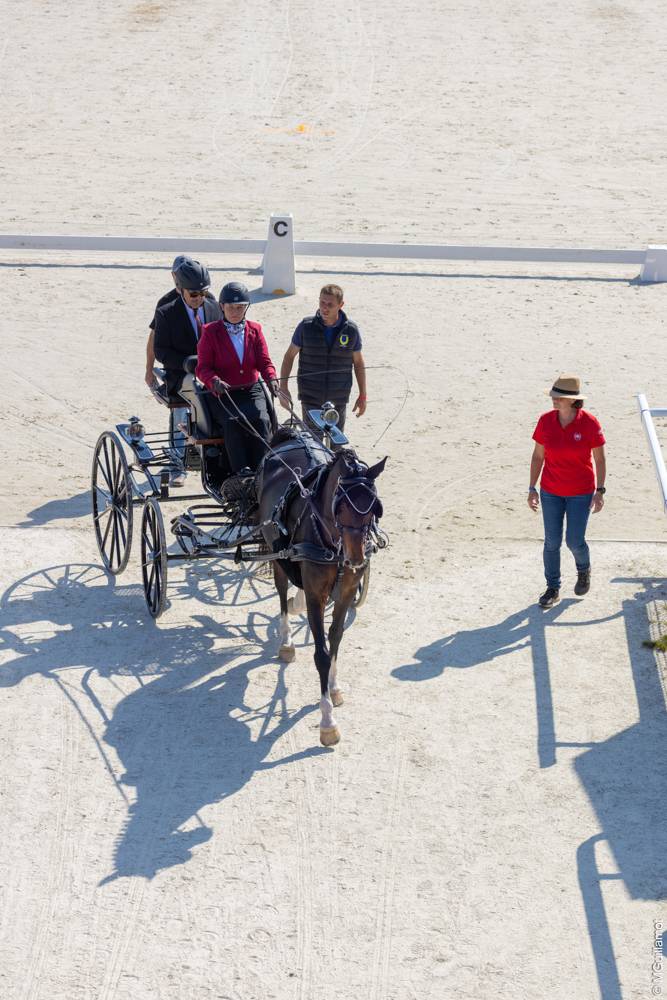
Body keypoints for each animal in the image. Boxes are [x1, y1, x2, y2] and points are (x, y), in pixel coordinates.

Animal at [256, 427, 386, 746]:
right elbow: (322, 654)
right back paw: (287, 640)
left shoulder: (347, 592)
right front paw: (327, 722)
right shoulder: (318, 596)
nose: (356, 558)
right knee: (281, 593)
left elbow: (336, 639)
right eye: (341, 504)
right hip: (278, 556)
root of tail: (293, 435)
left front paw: (335, 687)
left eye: (374, 507)